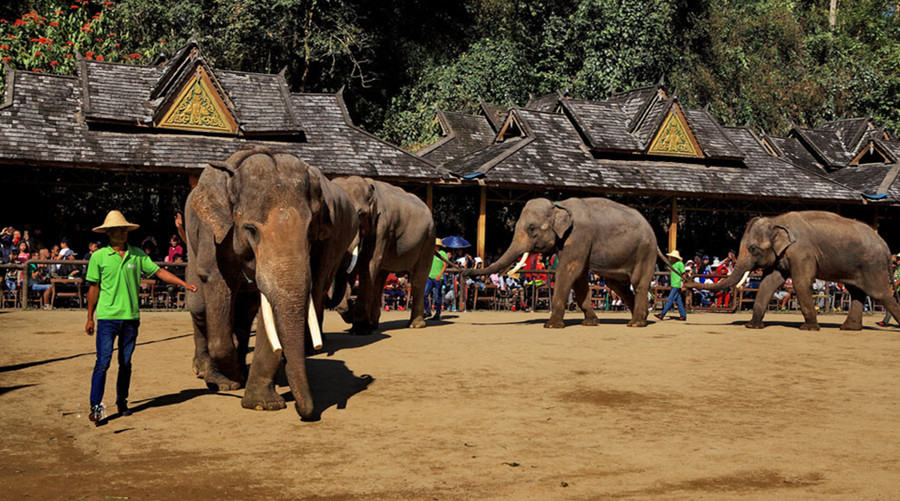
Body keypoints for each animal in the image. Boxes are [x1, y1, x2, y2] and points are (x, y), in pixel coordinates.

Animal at [186, 147, 358, 418]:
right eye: (250, 230)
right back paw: (211, 375)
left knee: (244, 314)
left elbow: (268, 310)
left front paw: (262, 403)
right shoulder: (215, 238)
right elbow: (216, 285)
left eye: (310, 231)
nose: (308, 412)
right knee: (199, 306)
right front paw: (231, 379)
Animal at [332, 175, 438, 332]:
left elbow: (368, 264)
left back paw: (415, 325)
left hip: (428, 239)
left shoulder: (382, 226)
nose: (350, 303)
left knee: (418, 280)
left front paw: (359, 328)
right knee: (380, 279)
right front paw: (354, 318)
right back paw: (374, 324)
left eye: (360, 214)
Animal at [464, 195, 668, 328]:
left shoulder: (578, 236)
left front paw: (551, 325)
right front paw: (590, 323)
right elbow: (579, 278)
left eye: (532, 228)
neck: (558, 205)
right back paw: (643, 317)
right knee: (616, 284)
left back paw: (636, 323)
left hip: (645, 251)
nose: (464, 272)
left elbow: (568, 271)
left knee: (638, 283)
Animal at [688, 211, 900, 332]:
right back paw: (849, 329)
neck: (776, 221)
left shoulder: (802, 253)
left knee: (880, 294)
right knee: (857, 292)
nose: (687, 279)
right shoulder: (781, 255)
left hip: (872, 266)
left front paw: (809, 328)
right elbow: (767, 283)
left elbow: (800, 283)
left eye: (753, 249)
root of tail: (886, 246)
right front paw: (753, 326)